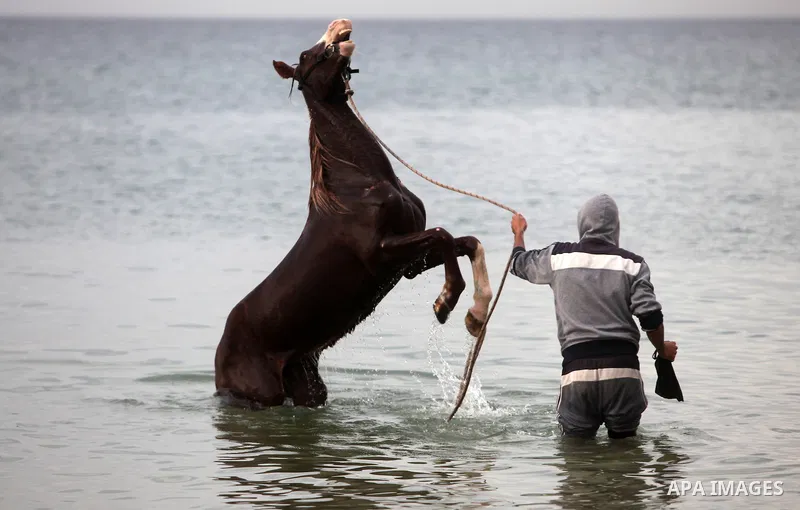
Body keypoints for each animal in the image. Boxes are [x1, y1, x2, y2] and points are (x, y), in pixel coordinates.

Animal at [214, 19, 493, 408]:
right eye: (306, 55)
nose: (339, 26)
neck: (362, 182)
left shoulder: (407, 264)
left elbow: (466, 241)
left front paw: (476, 314)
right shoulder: (382, 253)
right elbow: (442, 234)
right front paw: (446, 302)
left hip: (307, 385)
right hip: (261, 395)